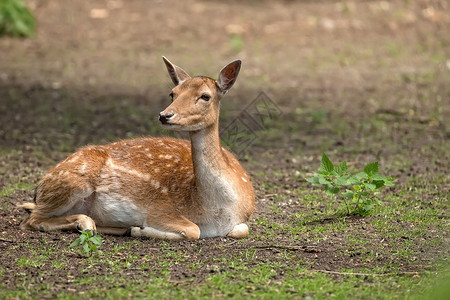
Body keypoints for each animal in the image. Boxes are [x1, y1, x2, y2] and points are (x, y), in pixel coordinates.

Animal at [18, 56, 256, 240]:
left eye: (205, 96)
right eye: (173, 93)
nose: (165, 115)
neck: (217, 210)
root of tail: (39, 188)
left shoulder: (243, 220)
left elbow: (241, 230)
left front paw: (133, 229)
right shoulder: (160, 208)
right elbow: (192, 230)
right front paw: (140, 229)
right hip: (71, 182)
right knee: (31, 220)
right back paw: (87, 223)